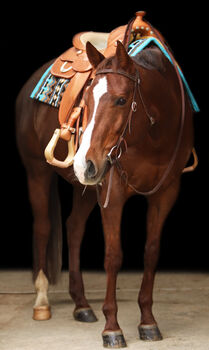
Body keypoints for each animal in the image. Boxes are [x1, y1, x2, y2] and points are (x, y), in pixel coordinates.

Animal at [15, 36, 194, 348]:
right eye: (84, 101)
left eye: (121, 100)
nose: (83, 162)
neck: (153, 136)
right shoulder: (113, 193)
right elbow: (113, 256)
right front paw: (112, 328)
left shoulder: (165, 194)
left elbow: (151, 253)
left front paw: (148, 322)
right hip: (38, 171)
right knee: (43, 227)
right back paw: (42, 302)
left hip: (86, 186)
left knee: (74, 227)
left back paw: (82, 305)